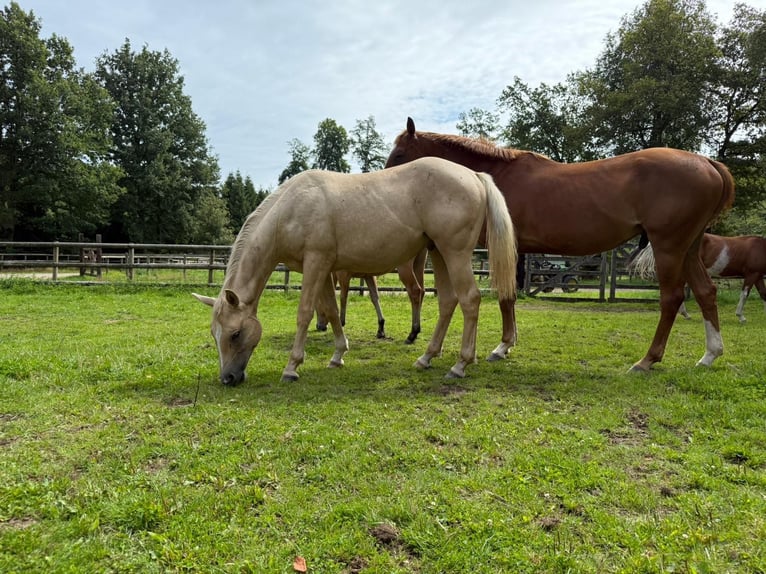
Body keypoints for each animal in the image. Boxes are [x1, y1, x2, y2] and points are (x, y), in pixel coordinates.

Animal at [193, 156, 518, 384]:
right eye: (214, 334)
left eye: (235, 334)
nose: (228, 378)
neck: (291, 209)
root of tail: (473, 176)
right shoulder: (324, 268)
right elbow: (331, 310)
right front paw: (338, 355)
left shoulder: (315, 264)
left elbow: (305, 313)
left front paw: (292, 367)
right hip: (439, 254)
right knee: (448, 302)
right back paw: (427, 357)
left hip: (455, 254)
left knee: (470, 300)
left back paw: (460, 364)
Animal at [386, 118, 735, 371]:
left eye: (400, 155)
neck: (497, 176)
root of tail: (707, 163)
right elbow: (511, 297)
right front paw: (506, 345)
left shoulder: (508, 248)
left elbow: (506, 296)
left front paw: (501, 346)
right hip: (688, 248)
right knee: (705, 292)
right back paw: (710, 355)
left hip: (669, 247)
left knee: (672, 299)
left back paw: (647, 360)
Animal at [631, 233, 766, 323]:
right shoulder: (752, 274)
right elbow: (744, 295)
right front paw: (740, 316)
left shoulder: (758, 276)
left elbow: (763, 294)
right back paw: (685, 313)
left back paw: (685, 314)